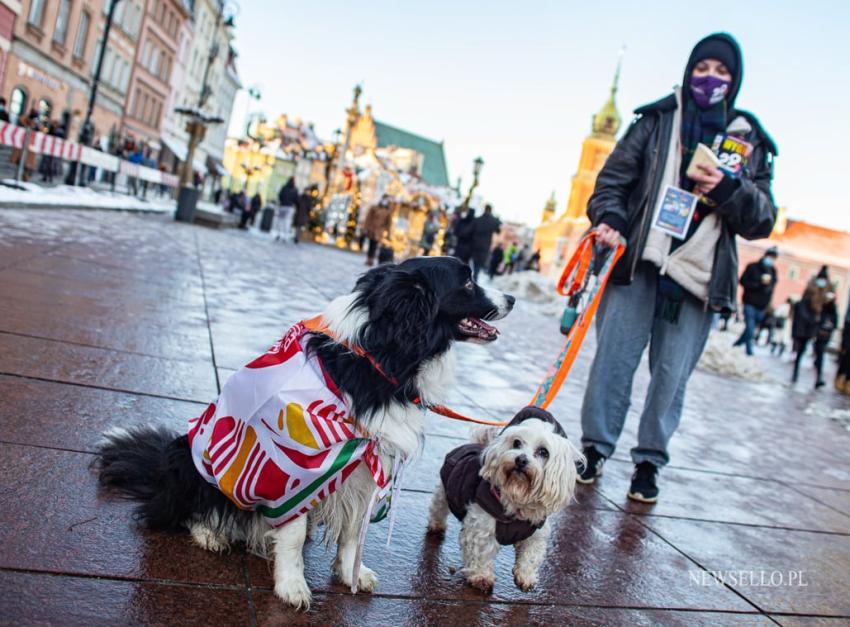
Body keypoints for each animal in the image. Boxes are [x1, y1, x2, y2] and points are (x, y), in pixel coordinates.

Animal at [428, 408, 580, 592]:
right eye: (516, 443)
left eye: (543, 452)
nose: (521, 459)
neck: (517, 496)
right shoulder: (481, 527)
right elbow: (481, 552)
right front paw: (481, 577)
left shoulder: (535, 534)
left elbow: (531, 555)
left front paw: (526, 577)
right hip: (444, 489)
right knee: (438, 507)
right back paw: (436, 526)